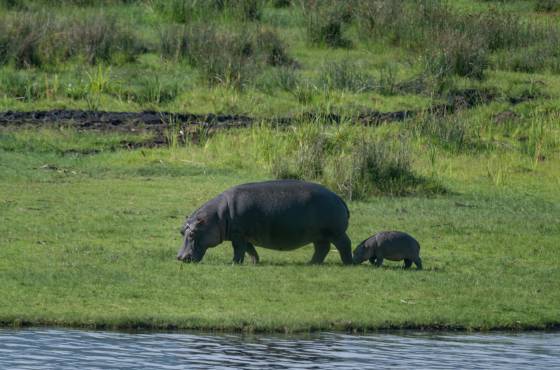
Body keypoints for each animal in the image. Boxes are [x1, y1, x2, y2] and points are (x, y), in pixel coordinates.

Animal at [176, 181, 350, 264]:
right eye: (181, 231)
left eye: (192, 233)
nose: (179, 257)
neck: (217, 216)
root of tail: (338, 198)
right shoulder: (243, 236)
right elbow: (250, 249)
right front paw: (254, 262)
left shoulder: (238, 235)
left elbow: (238, 250)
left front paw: (234, 263)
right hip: (319, 235)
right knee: (322, 249)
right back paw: (311, 263)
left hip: (336, 233)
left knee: (344, 244)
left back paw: (348, 262)